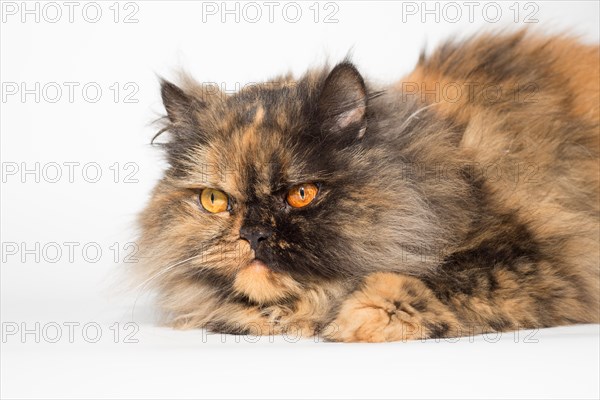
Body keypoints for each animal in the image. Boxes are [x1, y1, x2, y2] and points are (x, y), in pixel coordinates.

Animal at [137, 32, 600, 344]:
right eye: (216, 200)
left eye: (301, 194)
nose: (253, 233)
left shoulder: (538, 264)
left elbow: (431, 282)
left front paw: (353, 320)